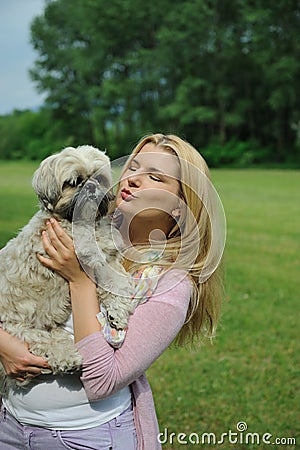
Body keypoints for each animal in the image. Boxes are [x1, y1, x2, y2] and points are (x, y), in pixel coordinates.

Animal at [0, 146, 134, 388]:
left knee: (55, 338)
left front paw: (117, 313)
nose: (91, 187)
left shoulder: (110, 263)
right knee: (44, 345)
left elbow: (118, 283)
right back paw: (68, 359)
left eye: (99, 179)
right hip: (19, 330)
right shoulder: (59, 238)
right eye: (73, 182)